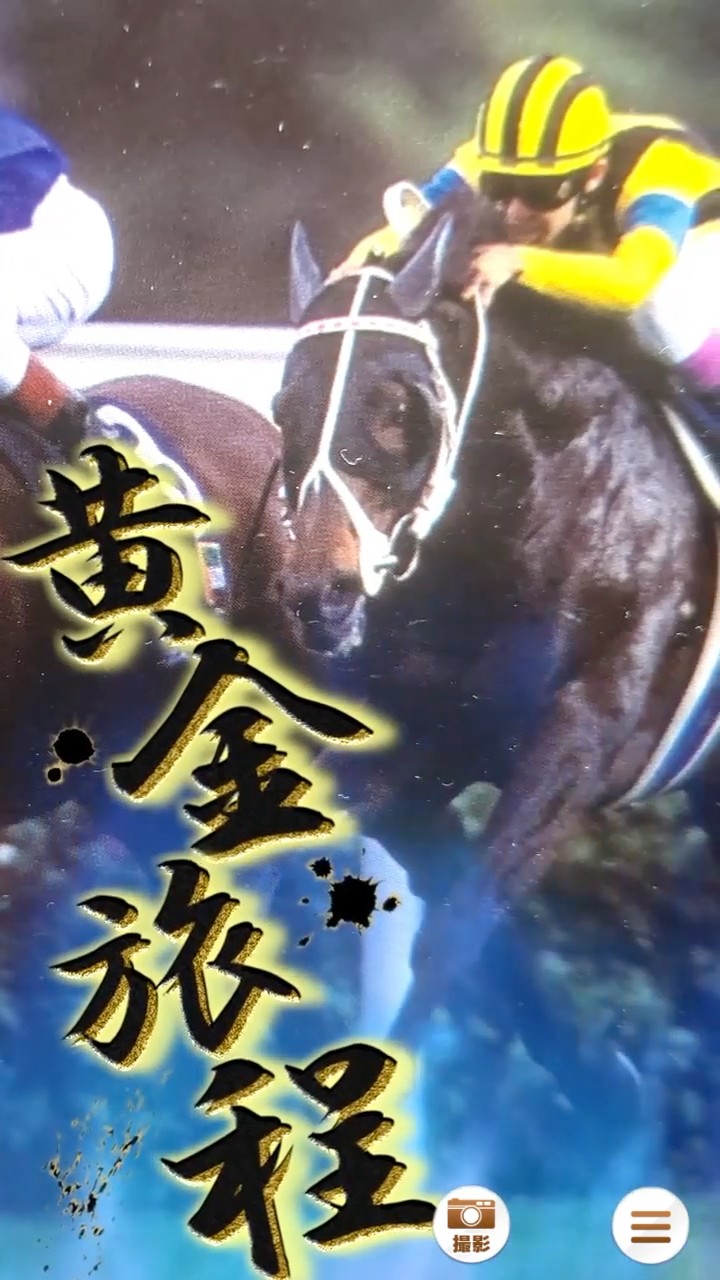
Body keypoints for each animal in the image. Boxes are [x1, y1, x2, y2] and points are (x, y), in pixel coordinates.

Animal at [271, 192, 719, 1131]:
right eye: (284, 405)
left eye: (401, 407)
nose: (317, 594)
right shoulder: (418, 753)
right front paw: (603, 1076)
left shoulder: (579, 738)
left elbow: (458, 927)